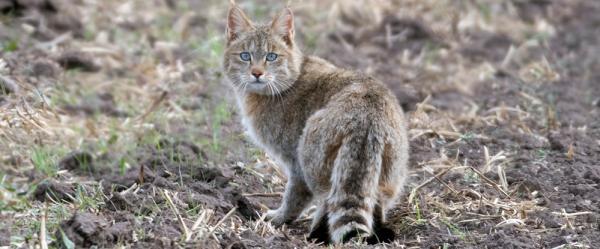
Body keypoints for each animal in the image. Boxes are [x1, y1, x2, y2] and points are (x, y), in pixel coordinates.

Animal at [223, 1, 410, 243]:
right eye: (245, 56)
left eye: (271, 57)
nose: (256, 73)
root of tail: (366, 119)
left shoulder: (295, 164)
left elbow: (294, 196)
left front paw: (278, 219)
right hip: (389, 175)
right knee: (373, 201)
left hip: (312, 158)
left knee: (328, 199)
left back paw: (316, 233)